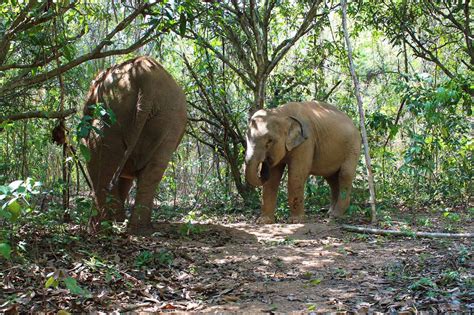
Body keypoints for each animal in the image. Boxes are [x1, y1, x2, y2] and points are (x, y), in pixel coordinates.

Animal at [82, 56, 186, 235]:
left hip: (112, 111)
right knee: (153, 171)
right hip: (171, 117)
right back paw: (137, 228)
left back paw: (102, 228)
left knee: (99, 158)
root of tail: (146, 77)